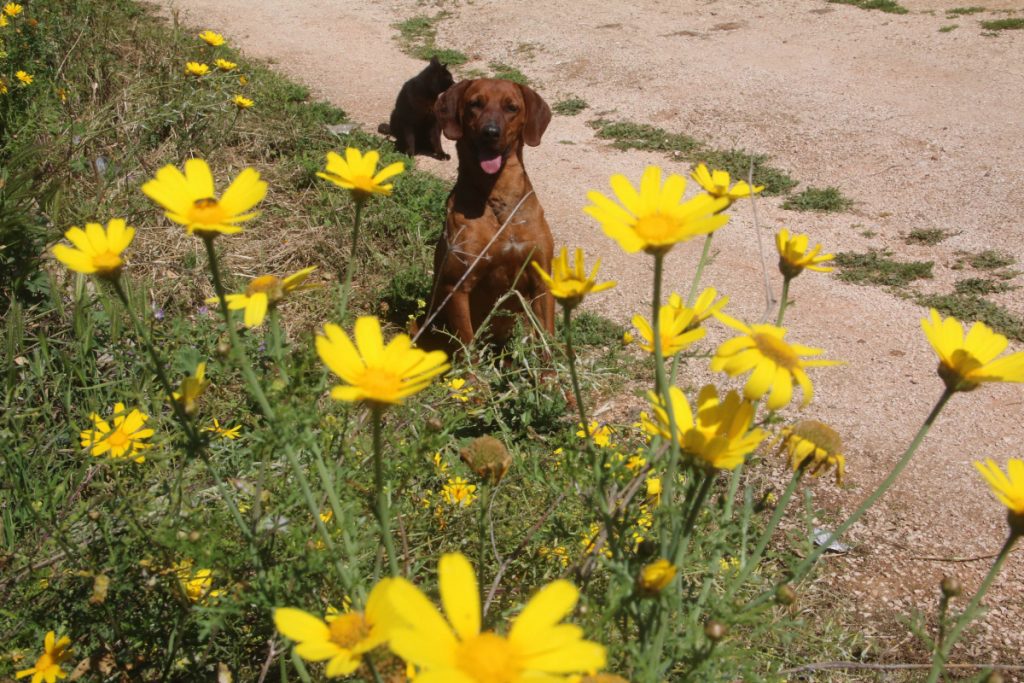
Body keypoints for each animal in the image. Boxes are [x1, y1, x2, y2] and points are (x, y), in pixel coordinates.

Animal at [415, 81, 557, 352]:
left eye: (512, 107)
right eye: (475, 104)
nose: (490, 132)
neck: (497, 199)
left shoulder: (541, 280)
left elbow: (546, 342)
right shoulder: (456, 286)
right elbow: (468, 348)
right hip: (421, 325)